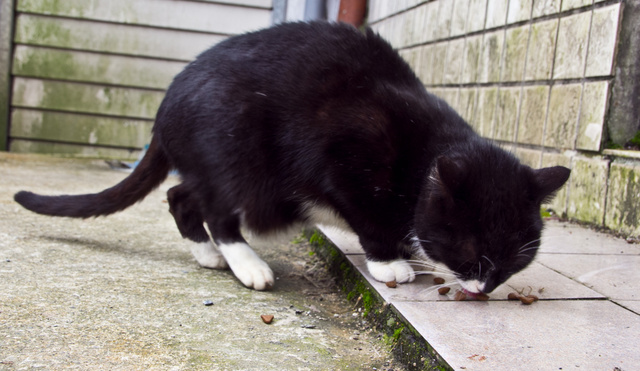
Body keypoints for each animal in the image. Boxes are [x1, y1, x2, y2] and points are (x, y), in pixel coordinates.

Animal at [12, 22, 568, 296]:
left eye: (516, 260)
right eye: (474, 251)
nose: (484, 287)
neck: (419, 159)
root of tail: (165, 103)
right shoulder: (346, 153)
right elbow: (369, 216)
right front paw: (389, 261)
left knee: (178, 194)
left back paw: (207, 254)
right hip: (237, 153)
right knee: (216, 209)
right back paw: (246, 264)